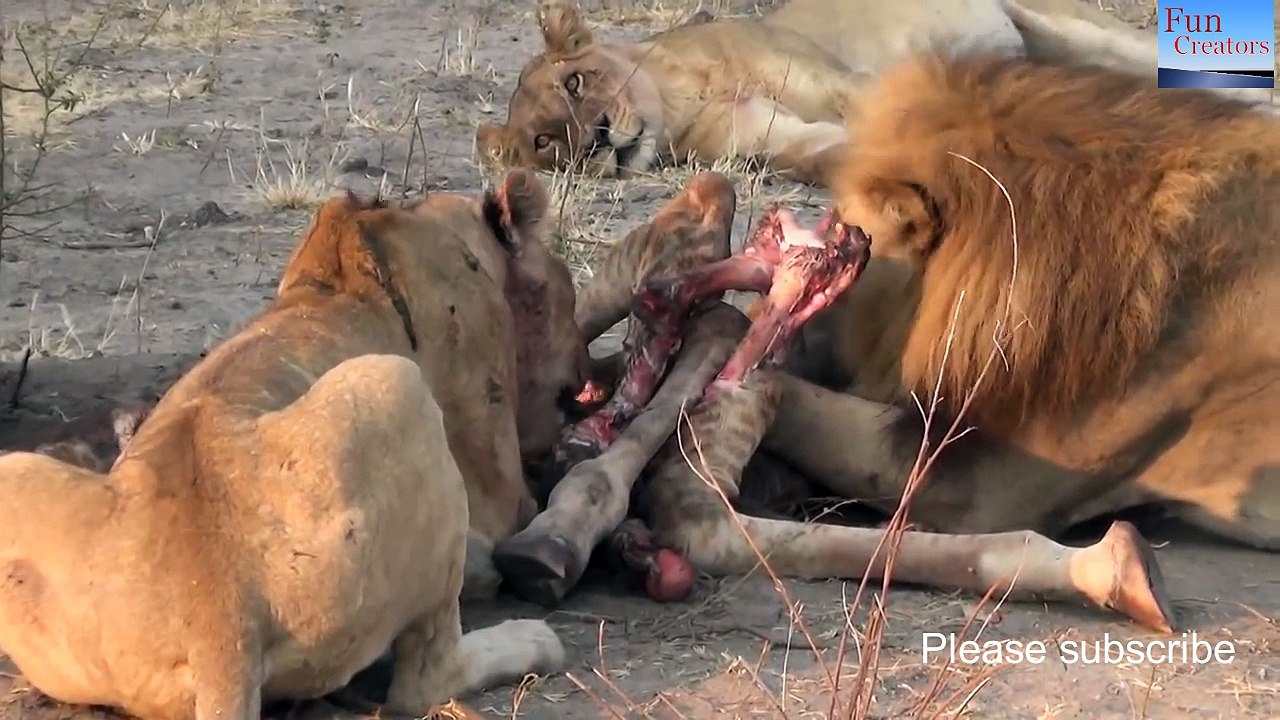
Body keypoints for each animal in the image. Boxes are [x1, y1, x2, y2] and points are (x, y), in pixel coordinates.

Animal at [0, 169, 586, 719]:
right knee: (424, 680)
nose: (584, 370)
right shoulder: (496, 478)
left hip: (15, 475)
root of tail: (220, 618)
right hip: (398, 385)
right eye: (567, 297)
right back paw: (533, 640)